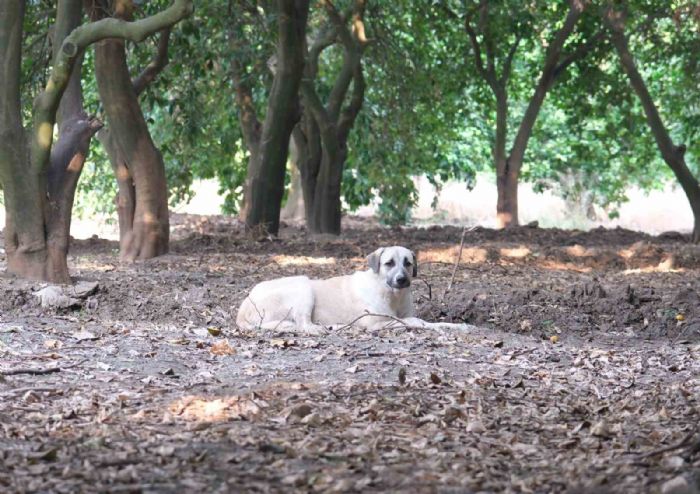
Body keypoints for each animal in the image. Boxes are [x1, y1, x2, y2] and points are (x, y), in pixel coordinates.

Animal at [238, 245, 474, 334]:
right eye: (389, 263)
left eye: (408, 263)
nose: (401, 280)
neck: (392, 295)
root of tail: (243, 308)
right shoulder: (375, 322)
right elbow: (415, 321)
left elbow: (431, 322)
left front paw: (459, 326)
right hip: (303, 285)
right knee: (303, 324)